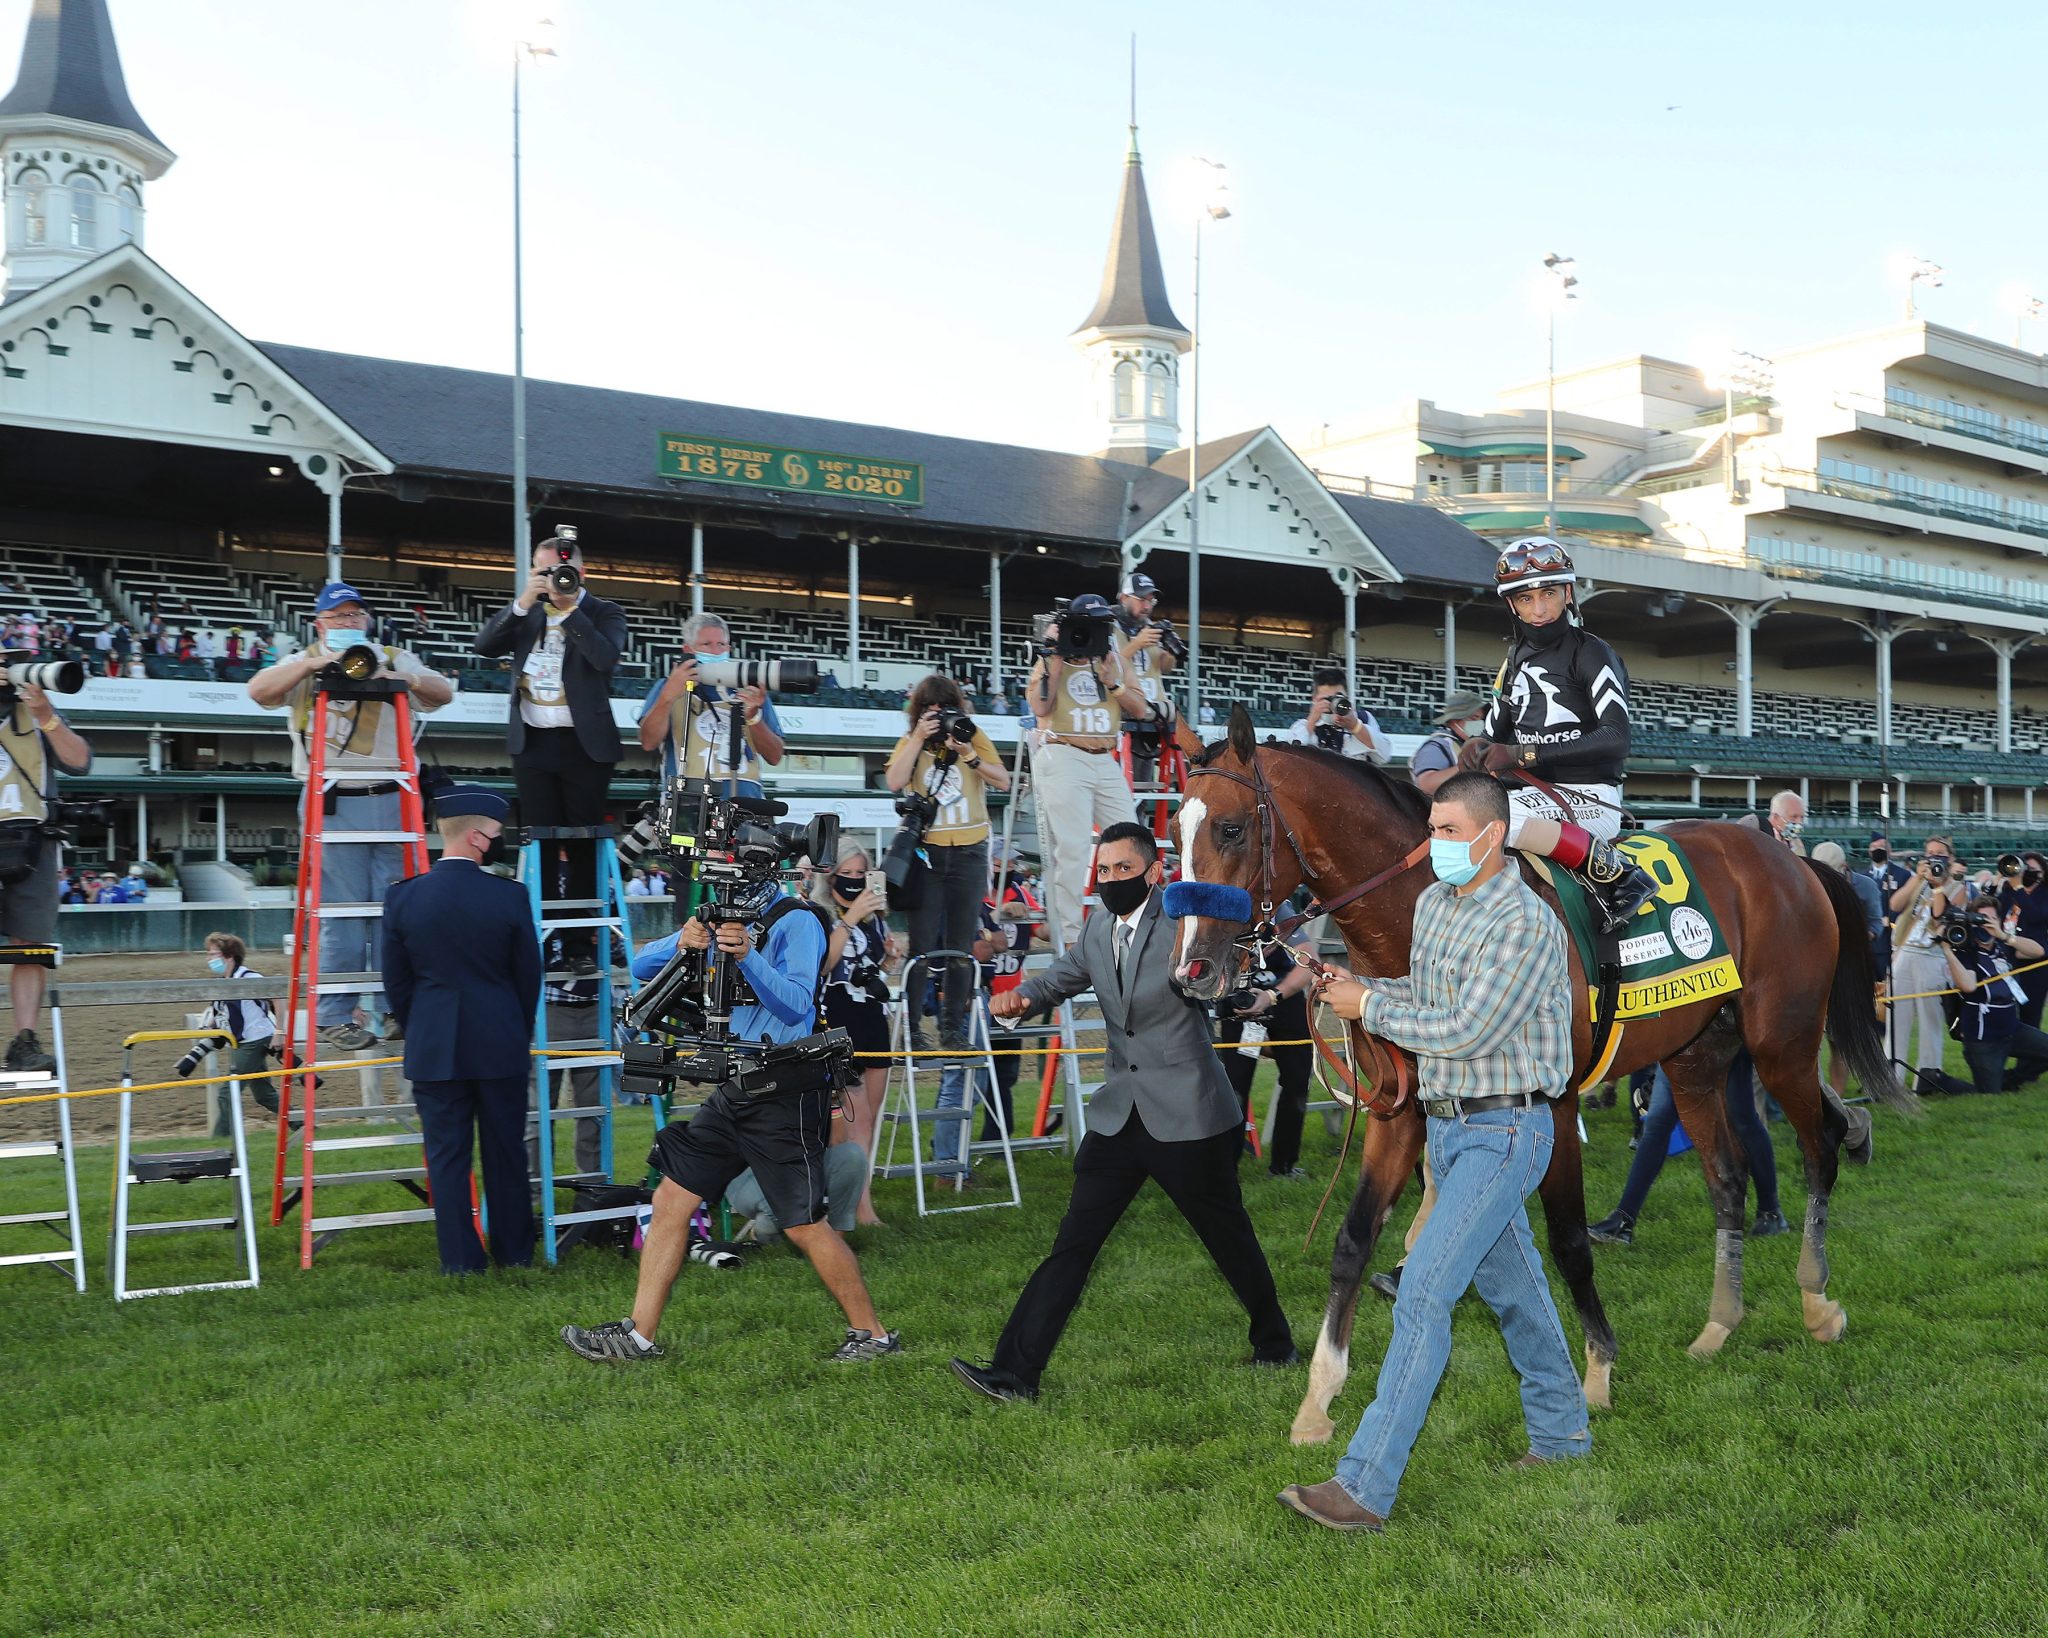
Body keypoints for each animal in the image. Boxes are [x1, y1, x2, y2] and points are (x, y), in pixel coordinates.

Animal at [1179, 708, 1908, 1449]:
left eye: (1231, 828)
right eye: (1175, 828)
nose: (1194, 971)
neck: (1420, 918)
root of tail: (1791, 859)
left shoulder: (1552, 1102)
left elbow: (1568, 1242)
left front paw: (1597, 1371)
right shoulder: (1401, 1111)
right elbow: (1353, 1240)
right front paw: (1319, 1400)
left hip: (1781, 1041)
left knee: (1818, 1151)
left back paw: (1818, 1296)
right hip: (1697, 1056)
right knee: (1728, 1181)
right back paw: (1718, 1324)